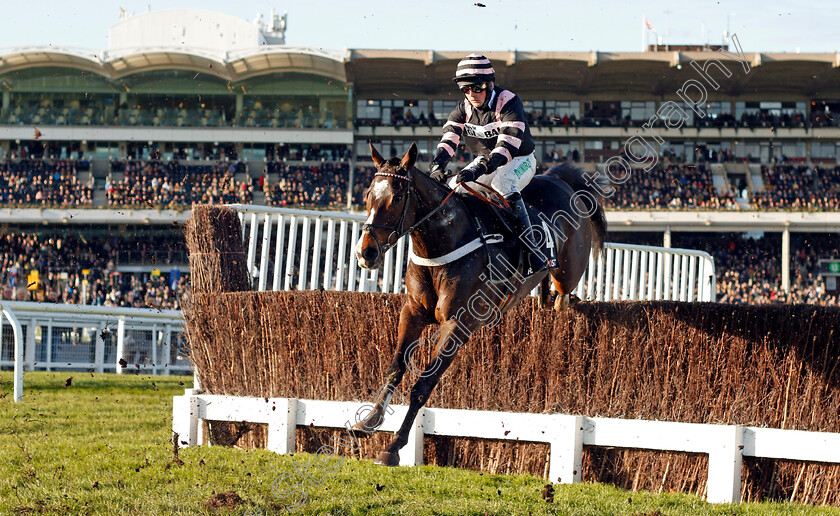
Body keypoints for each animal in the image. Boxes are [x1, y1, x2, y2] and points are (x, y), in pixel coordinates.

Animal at [352, 142, 608, 468]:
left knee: (563, 295)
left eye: (397, 197)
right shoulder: (412, 312)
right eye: (368, 194)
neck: (444, 242)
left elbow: (423, 384)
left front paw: (394, 446)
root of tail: (559, 180)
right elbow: (395, 367)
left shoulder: (459, 324)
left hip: (569, 269)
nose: (366, 252)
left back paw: (561, 296)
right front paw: (369, 421)